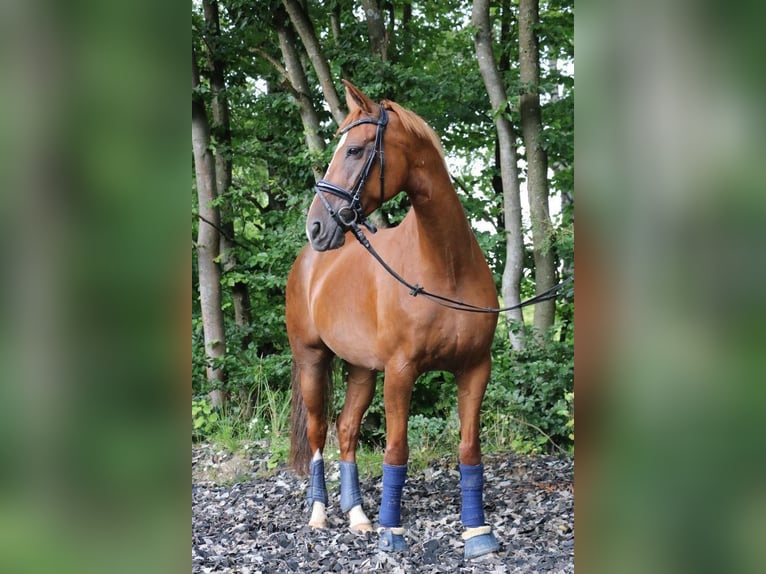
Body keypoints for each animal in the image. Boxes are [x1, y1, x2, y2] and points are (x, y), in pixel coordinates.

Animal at [288, 79, 504, 560]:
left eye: (355, 150)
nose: (316, 226)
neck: (445, 267)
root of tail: (307, 260)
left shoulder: (475, 368)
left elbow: (469, 448)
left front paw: (477, 534)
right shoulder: (401, 372)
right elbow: (396, 449)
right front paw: (393, 532)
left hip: (362, 369)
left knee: (346, 429)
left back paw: (357, 517)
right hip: (312, 360)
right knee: (317, 431)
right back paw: (319, 514)